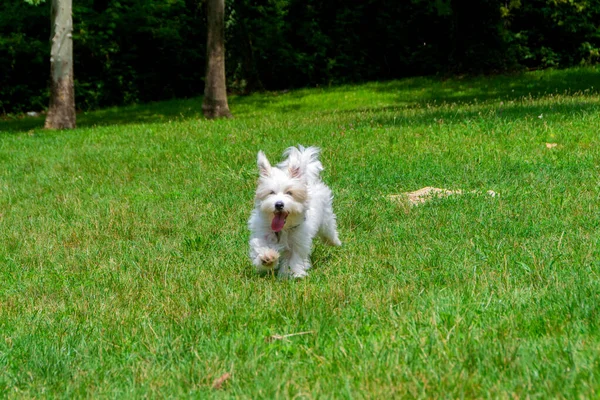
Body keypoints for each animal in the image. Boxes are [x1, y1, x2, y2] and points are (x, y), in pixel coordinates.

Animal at [248, 145, 342, 278]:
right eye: (271, 192)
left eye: (289, 193)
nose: (279, 204)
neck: (283, 228)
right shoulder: (262, 233)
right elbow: (260, 246)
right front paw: (267, 258)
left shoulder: (298, 241)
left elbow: (295, 258)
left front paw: (294, 274)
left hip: (326, 218)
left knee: (329, 230)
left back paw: (335, 242)